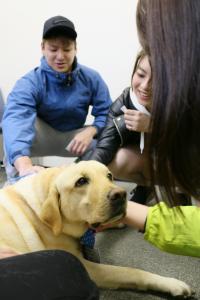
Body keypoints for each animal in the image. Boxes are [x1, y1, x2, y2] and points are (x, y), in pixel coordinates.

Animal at [0, 161, 192, 296]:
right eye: (81, 181)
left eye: (109, 176)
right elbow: (128, 271)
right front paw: (170, 283)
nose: (121, 195)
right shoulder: (86, 266)